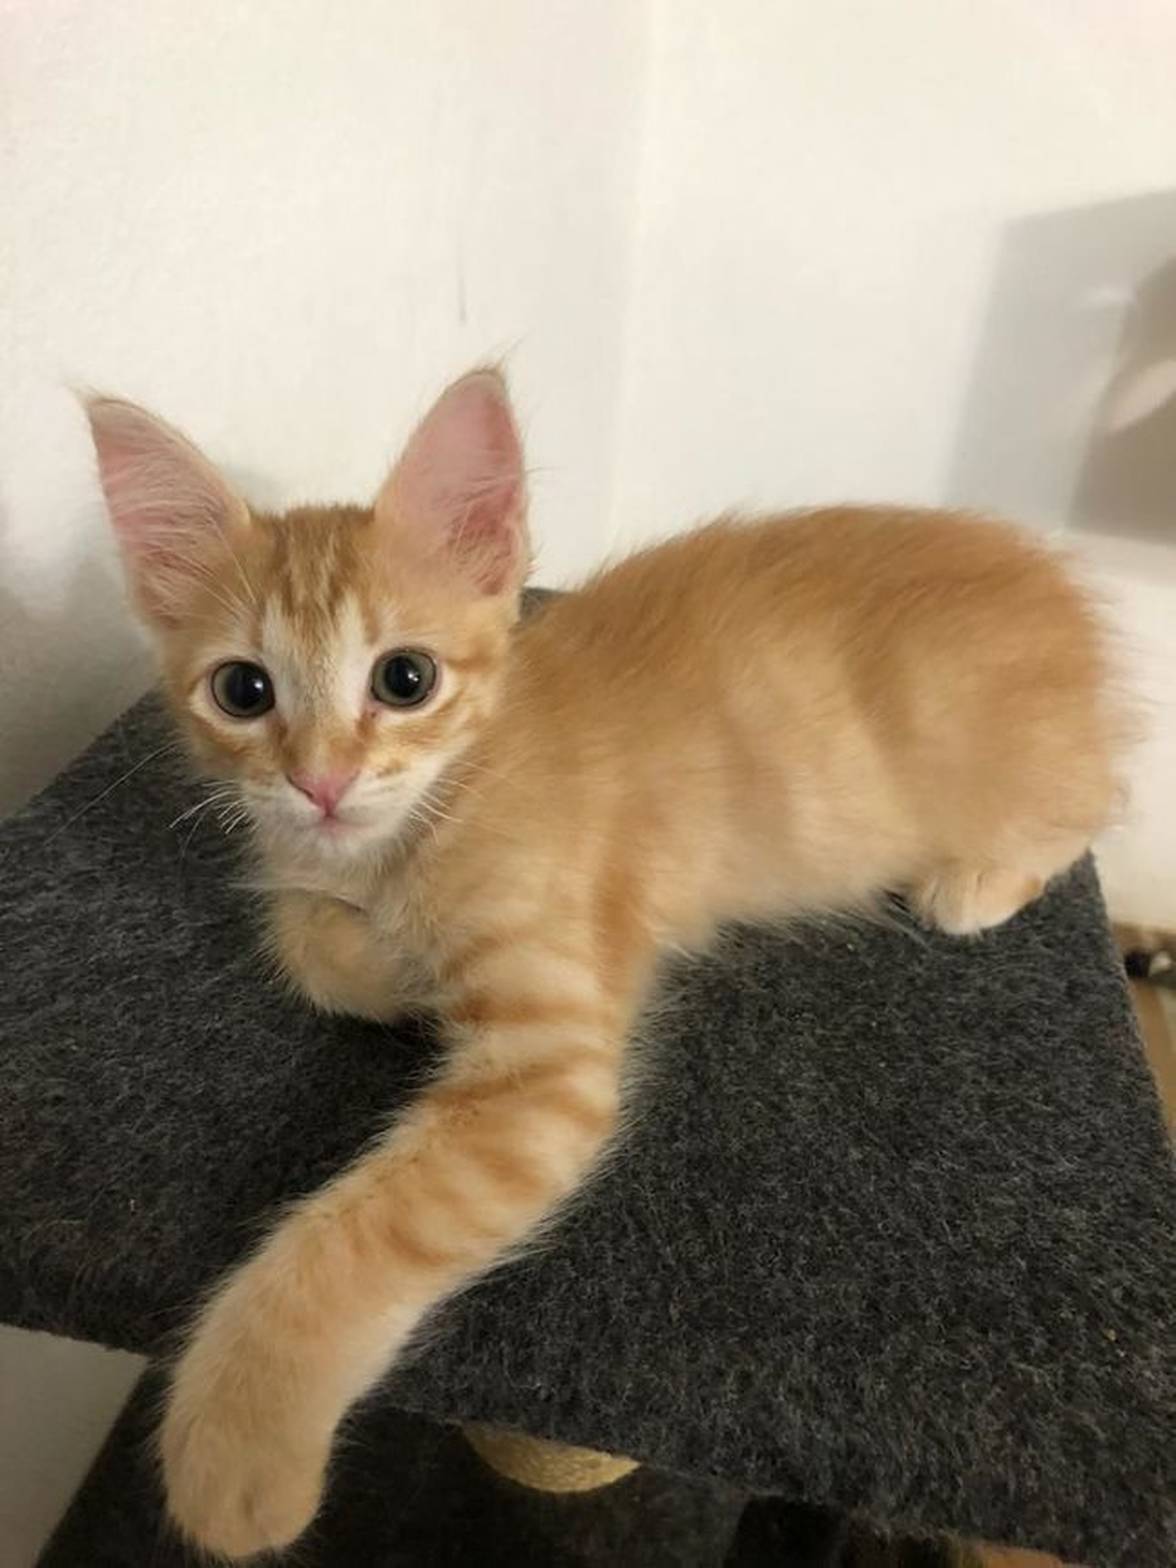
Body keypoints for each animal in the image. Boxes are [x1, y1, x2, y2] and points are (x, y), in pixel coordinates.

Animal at [88, 368, 1128, 1558]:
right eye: (244, 692)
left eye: (405, 678)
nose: (322, 781)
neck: (426, 818)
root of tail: (1051, 582)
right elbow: (302, 940)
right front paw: (394, 964)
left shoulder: (548, 1067)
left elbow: (358, 1238)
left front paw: (235, 1442)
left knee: (1091, 803)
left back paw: (979, 879)